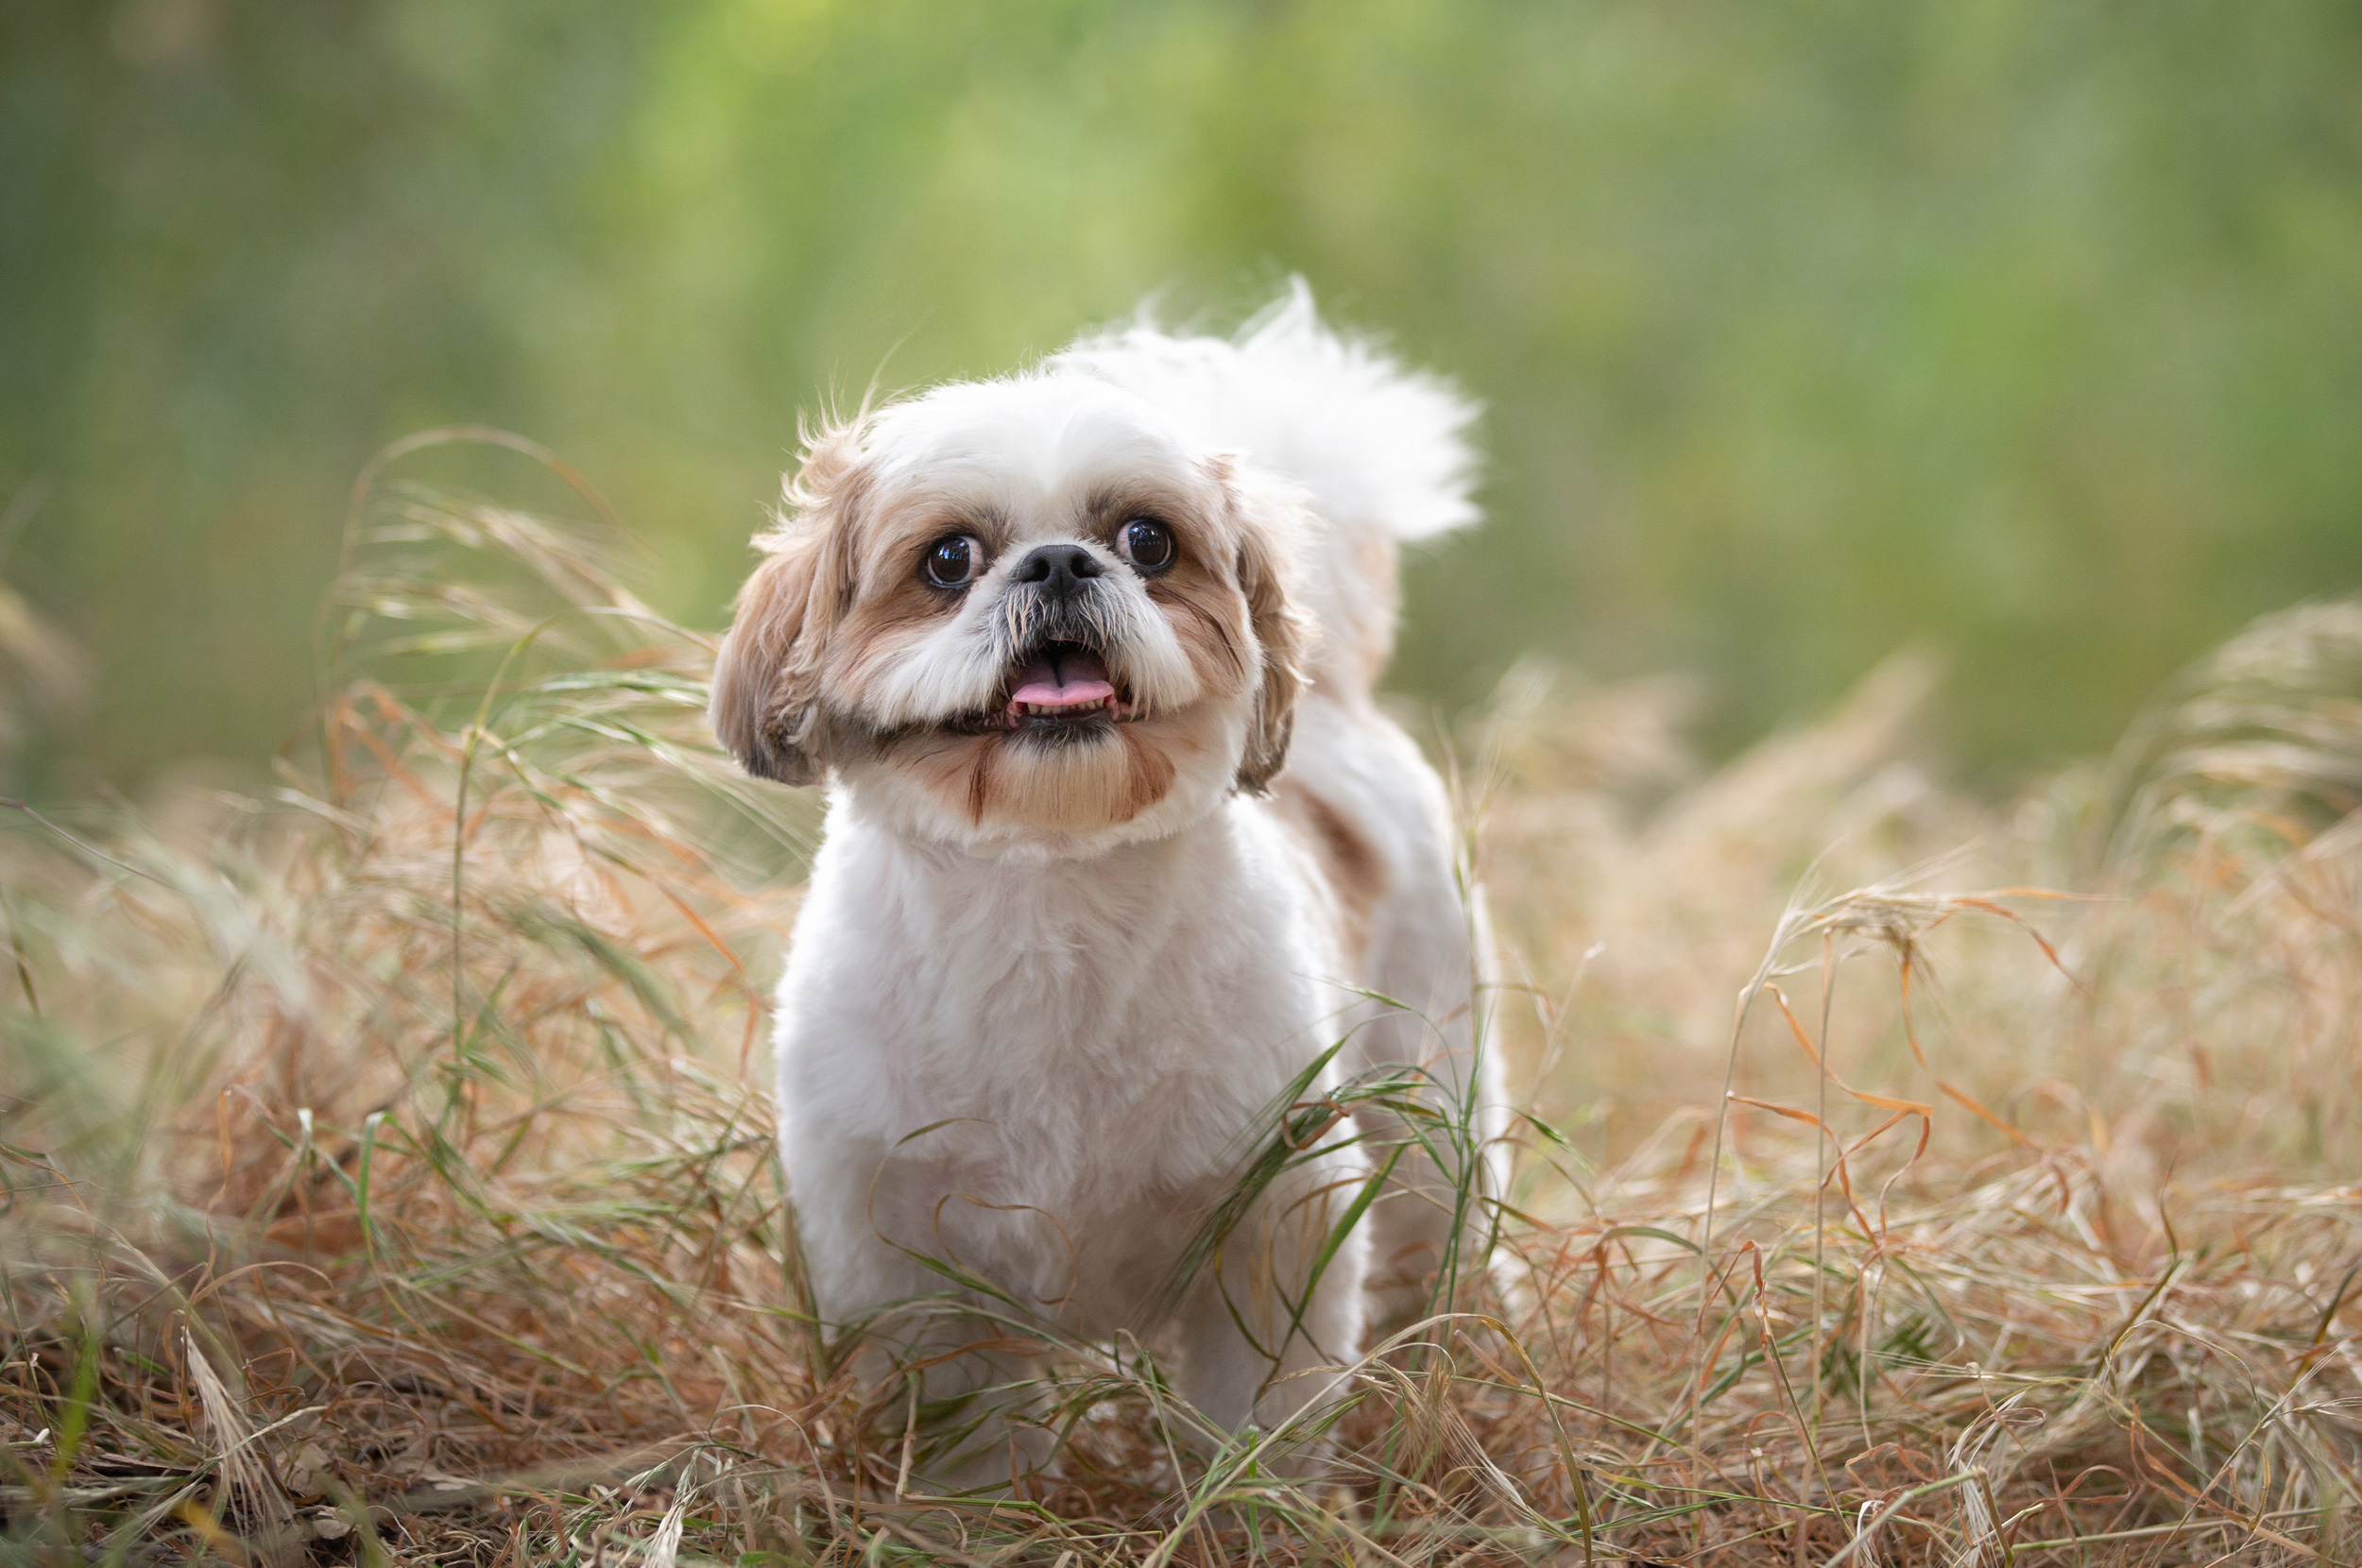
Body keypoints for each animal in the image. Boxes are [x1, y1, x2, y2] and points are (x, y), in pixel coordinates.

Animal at [709, 288, 1502, 1492]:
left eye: (1146, 540)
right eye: (948, 559)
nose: (1057, 563)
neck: (1049, 898)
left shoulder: (1276, 1216)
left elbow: (1258, 1411)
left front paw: (1251, 1508)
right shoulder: (898, 1255)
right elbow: (963, 1439)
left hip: (1427, 1100)